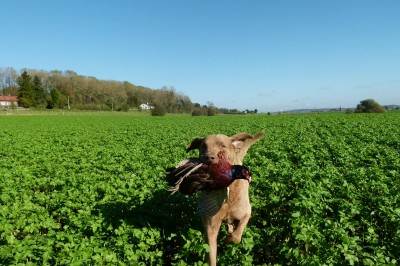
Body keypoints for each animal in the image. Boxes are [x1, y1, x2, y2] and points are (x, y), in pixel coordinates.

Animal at [186, 131, 264, 266]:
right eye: (203, 146)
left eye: (223, 146)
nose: (209, 157)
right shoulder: (210, 225)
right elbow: (211, 253)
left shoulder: (246, 212)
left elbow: (237, 236)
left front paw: (228, 239)